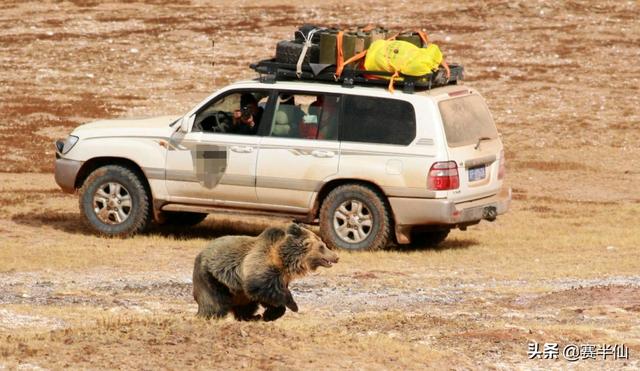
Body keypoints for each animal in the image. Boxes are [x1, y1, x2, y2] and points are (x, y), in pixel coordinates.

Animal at [191, 224, 338, 322]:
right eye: (322, 246)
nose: (336, 257)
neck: (284, 261)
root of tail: (199, 254)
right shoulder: (262, 266)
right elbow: (261, 288)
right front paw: (292, 305)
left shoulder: (281, 277)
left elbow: (267, 295)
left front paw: (269, 315)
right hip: (211, 277)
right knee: (215, 302)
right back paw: (210, 315)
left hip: (236, 291)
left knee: (245, 305)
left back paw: (251, 316)